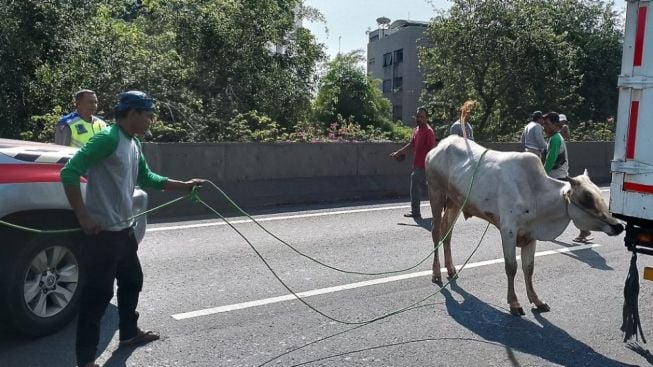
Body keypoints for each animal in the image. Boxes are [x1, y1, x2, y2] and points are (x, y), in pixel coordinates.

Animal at [426, 137, 624, 314]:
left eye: (599, 194)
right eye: (587, 198)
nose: (618, 226)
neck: (536, 194)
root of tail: (439, 146)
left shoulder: (530, 235)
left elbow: (528, 268)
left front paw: (537, 300)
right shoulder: (508, 230)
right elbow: (511, 267)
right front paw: (514, 303)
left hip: (455, 202)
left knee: (447, 232)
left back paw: (451, 269)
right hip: (436, 193)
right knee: (436, 231)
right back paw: (436, 273)